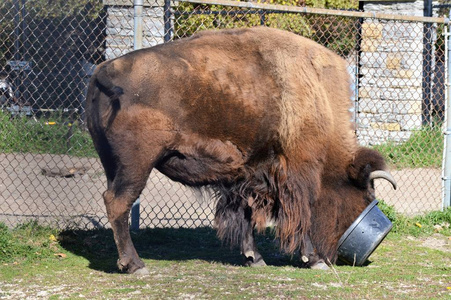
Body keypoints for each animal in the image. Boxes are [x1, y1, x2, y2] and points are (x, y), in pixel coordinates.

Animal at [85, 27, 396, 276]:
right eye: (366, 195)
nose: (379, 238)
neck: (317, 97)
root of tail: (103, 72)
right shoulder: (297, 175)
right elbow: (301, 216)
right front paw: (314, 260)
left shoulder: (247, 176)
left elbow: (245, 212)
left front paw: (254, 258)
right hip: (137, 165)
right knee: (118, 203)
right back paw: (135, 265)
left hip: (113, 165)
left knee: (113, 201)